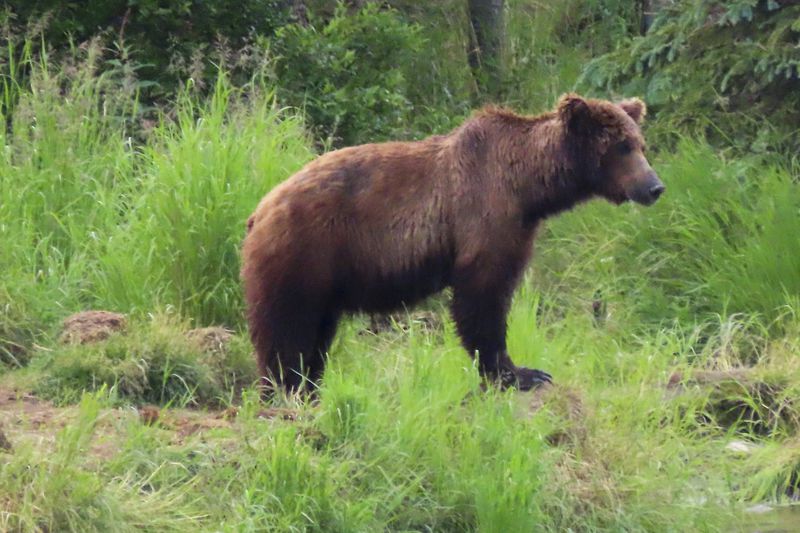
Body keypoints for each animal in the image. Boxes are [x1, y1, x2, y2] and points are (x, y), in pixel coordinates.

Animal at [242, 92, 664, 390]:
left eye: (640, 144)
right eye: (621, 147)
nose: (654, 187)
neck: (528, 189)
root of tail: (260, 209)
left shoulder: (520, 224)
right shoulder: (484, 214)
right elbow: (482, 295)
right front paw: (518, 373)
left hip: (323, 279)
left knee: (315, 336)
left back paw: (308, 387)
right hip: (302, 254)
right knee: (285, 330)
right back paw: (284, 388)